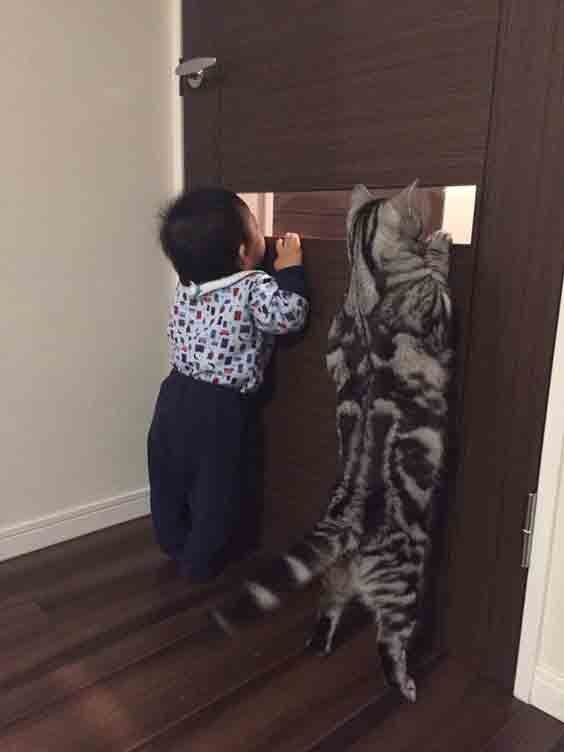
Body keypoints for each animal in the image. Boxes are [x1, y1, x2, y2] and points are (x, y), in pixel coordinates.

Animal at [212, 181, 454, 702]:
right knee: (389, 641)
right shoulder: (439, 313)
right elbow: (438, 282)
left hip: (338, 575)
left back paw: (321, 646)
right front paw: (440, 245)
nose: (432, 224)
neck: (366, 284)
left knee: (327, 607)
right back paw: (404, 686)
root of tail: (347, 517)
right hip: (405, 584)